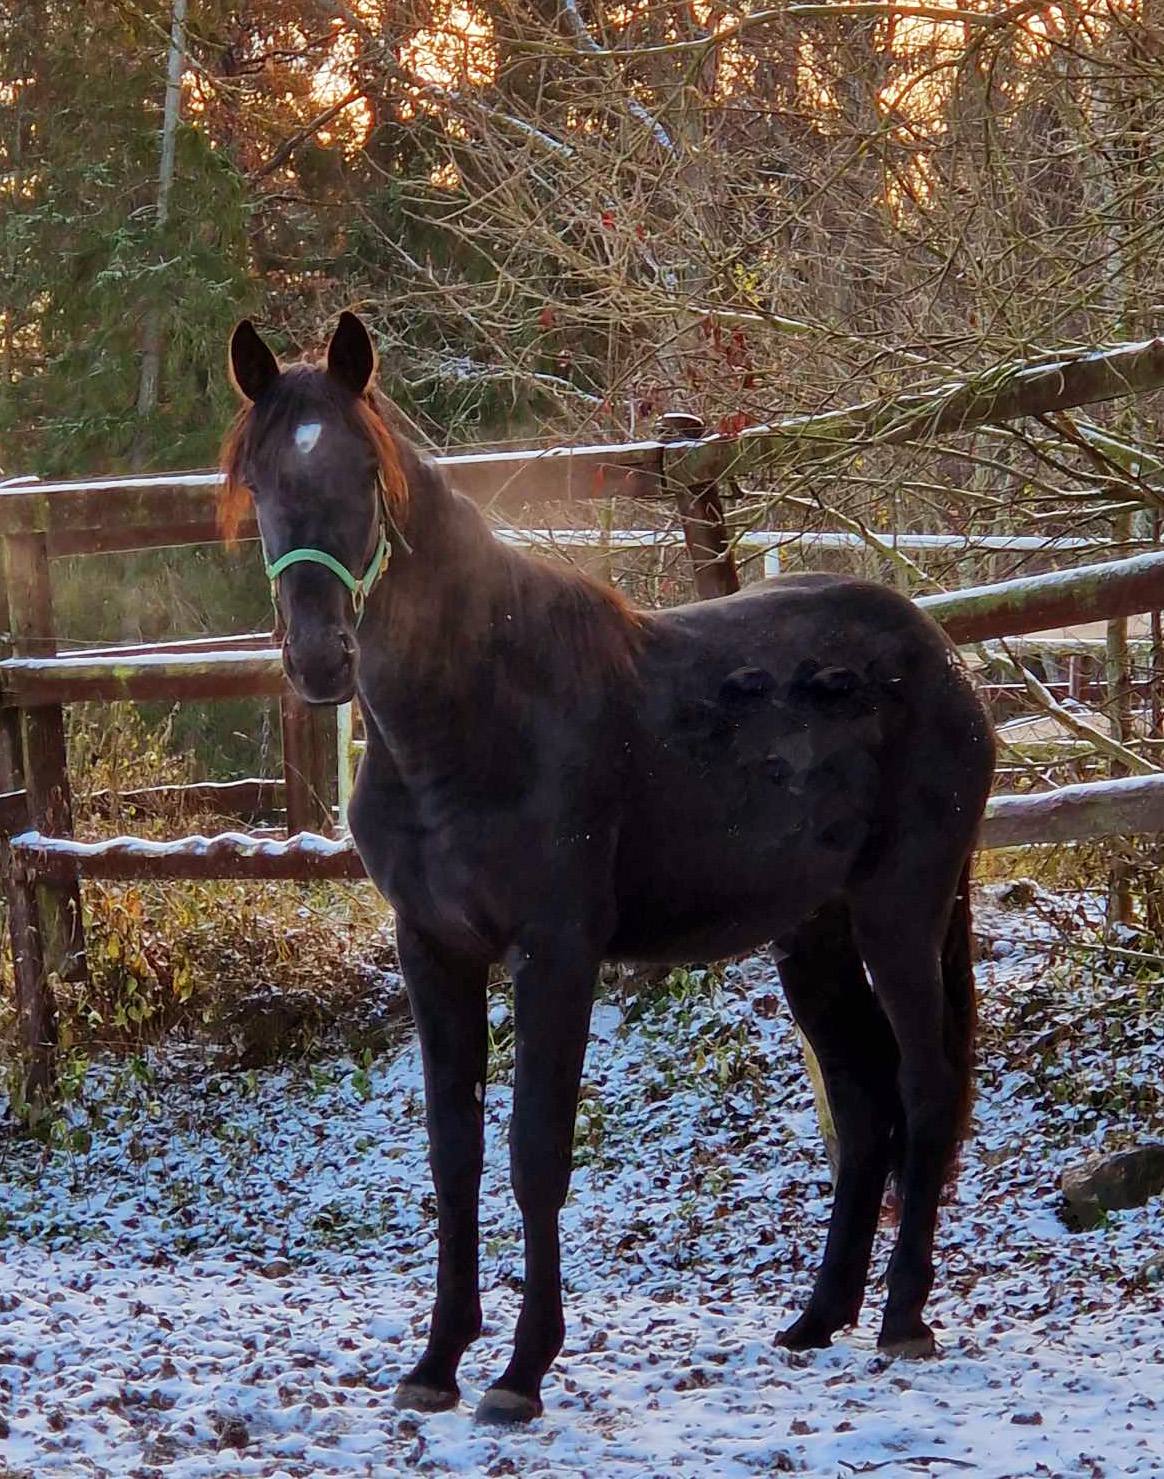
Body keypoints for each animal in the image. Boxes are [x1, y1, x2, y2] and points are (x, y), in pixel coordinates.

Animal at [223, 317, 999, 1425]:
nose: (321, 656)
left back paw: (901, 1321)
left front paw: (521, 1371)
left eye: (364, 471)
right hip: (813, 933)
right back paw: (816, 1319)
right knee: (861, 1107)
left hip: (901, 908)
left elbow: (535, 1151)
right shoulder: (433, 950)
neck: (479, 716)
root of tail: (942, 659)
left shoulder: (557, 951)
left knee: (927, 1086)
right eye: (258, 480)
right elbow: (453, 1153)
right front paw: (435, 1362)